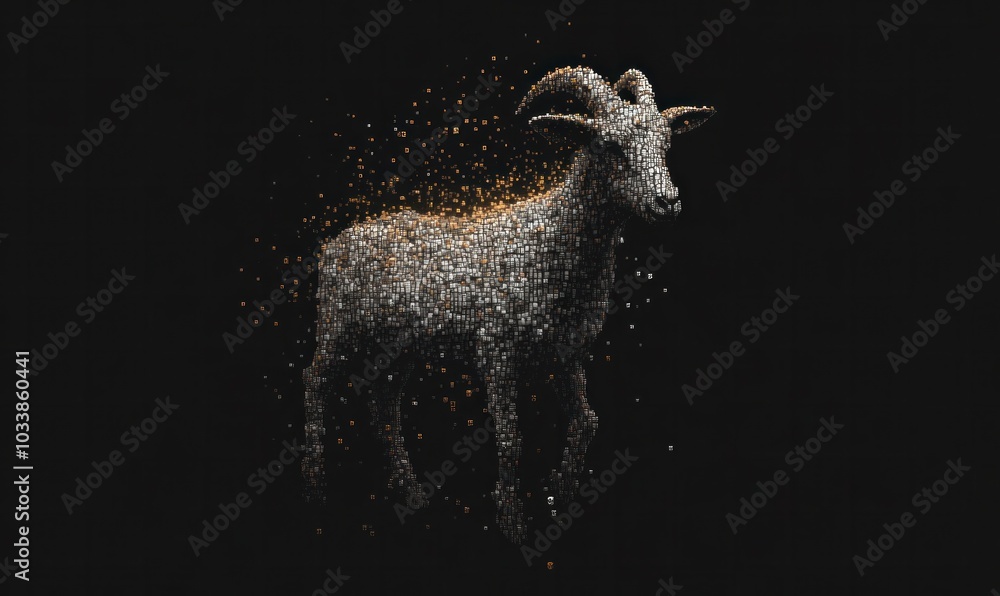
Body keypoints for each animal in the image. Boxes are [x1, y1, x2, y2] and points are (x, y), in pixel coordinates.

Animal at [302, 66, 714, 542]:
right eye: (609, 144)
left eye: (667, 144)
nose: (667, 202)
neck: (550, 239)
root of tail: (336, 242)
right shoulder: (496, 352)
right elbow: (510, 437)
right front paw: (512, 521)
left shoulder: (568, 354)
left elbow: (586, 420)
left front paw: (561, 491)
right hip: (337, 325)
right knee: (315, 382)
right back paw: (315, 488)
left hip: (398, 347)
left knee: (382, 404)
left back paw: (411, 492)